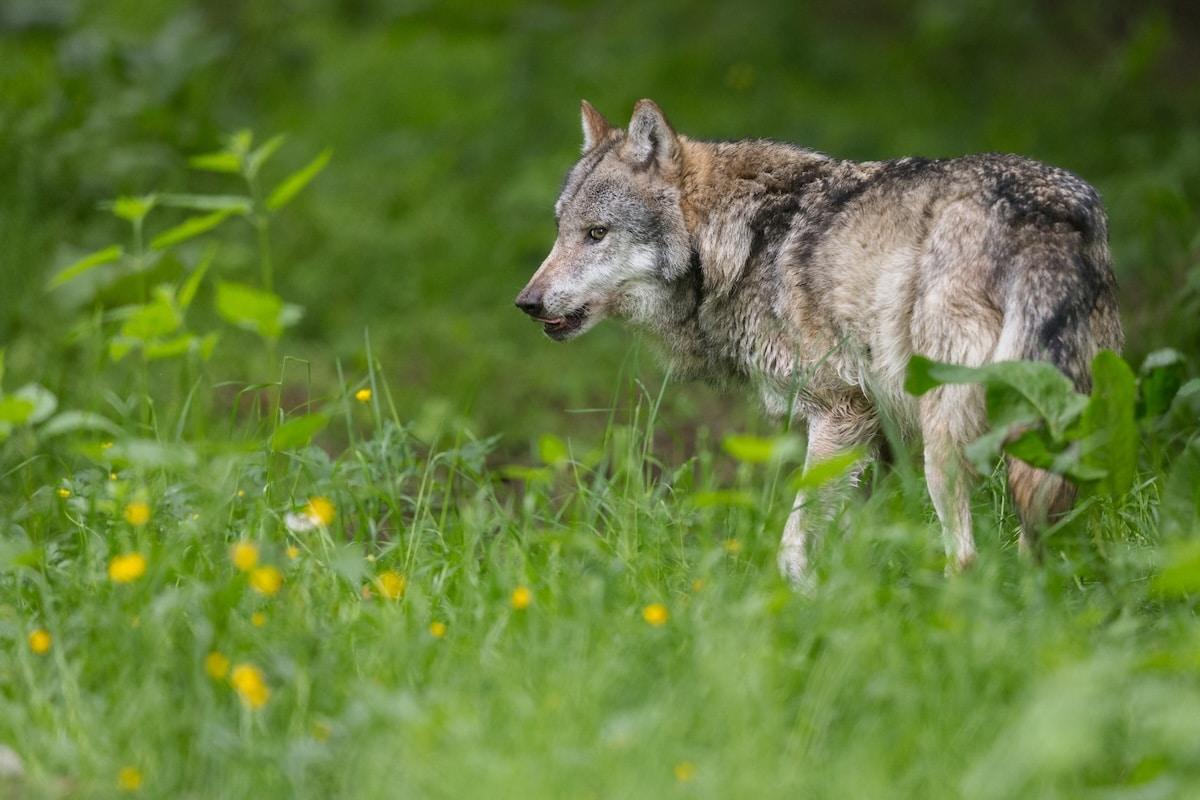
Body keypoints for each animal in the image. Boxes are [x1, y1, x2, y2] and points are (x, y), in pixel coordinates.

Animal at [515, 99, 1123, 584]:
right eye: (561, 231)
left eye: (597, 234)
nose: (527, 303)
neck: (737, 242)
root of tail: (1044, 213)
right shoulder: (876, 435)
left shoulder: (839, 413)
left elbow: (792, 541)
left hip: (944, 443)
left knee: (968, 556)